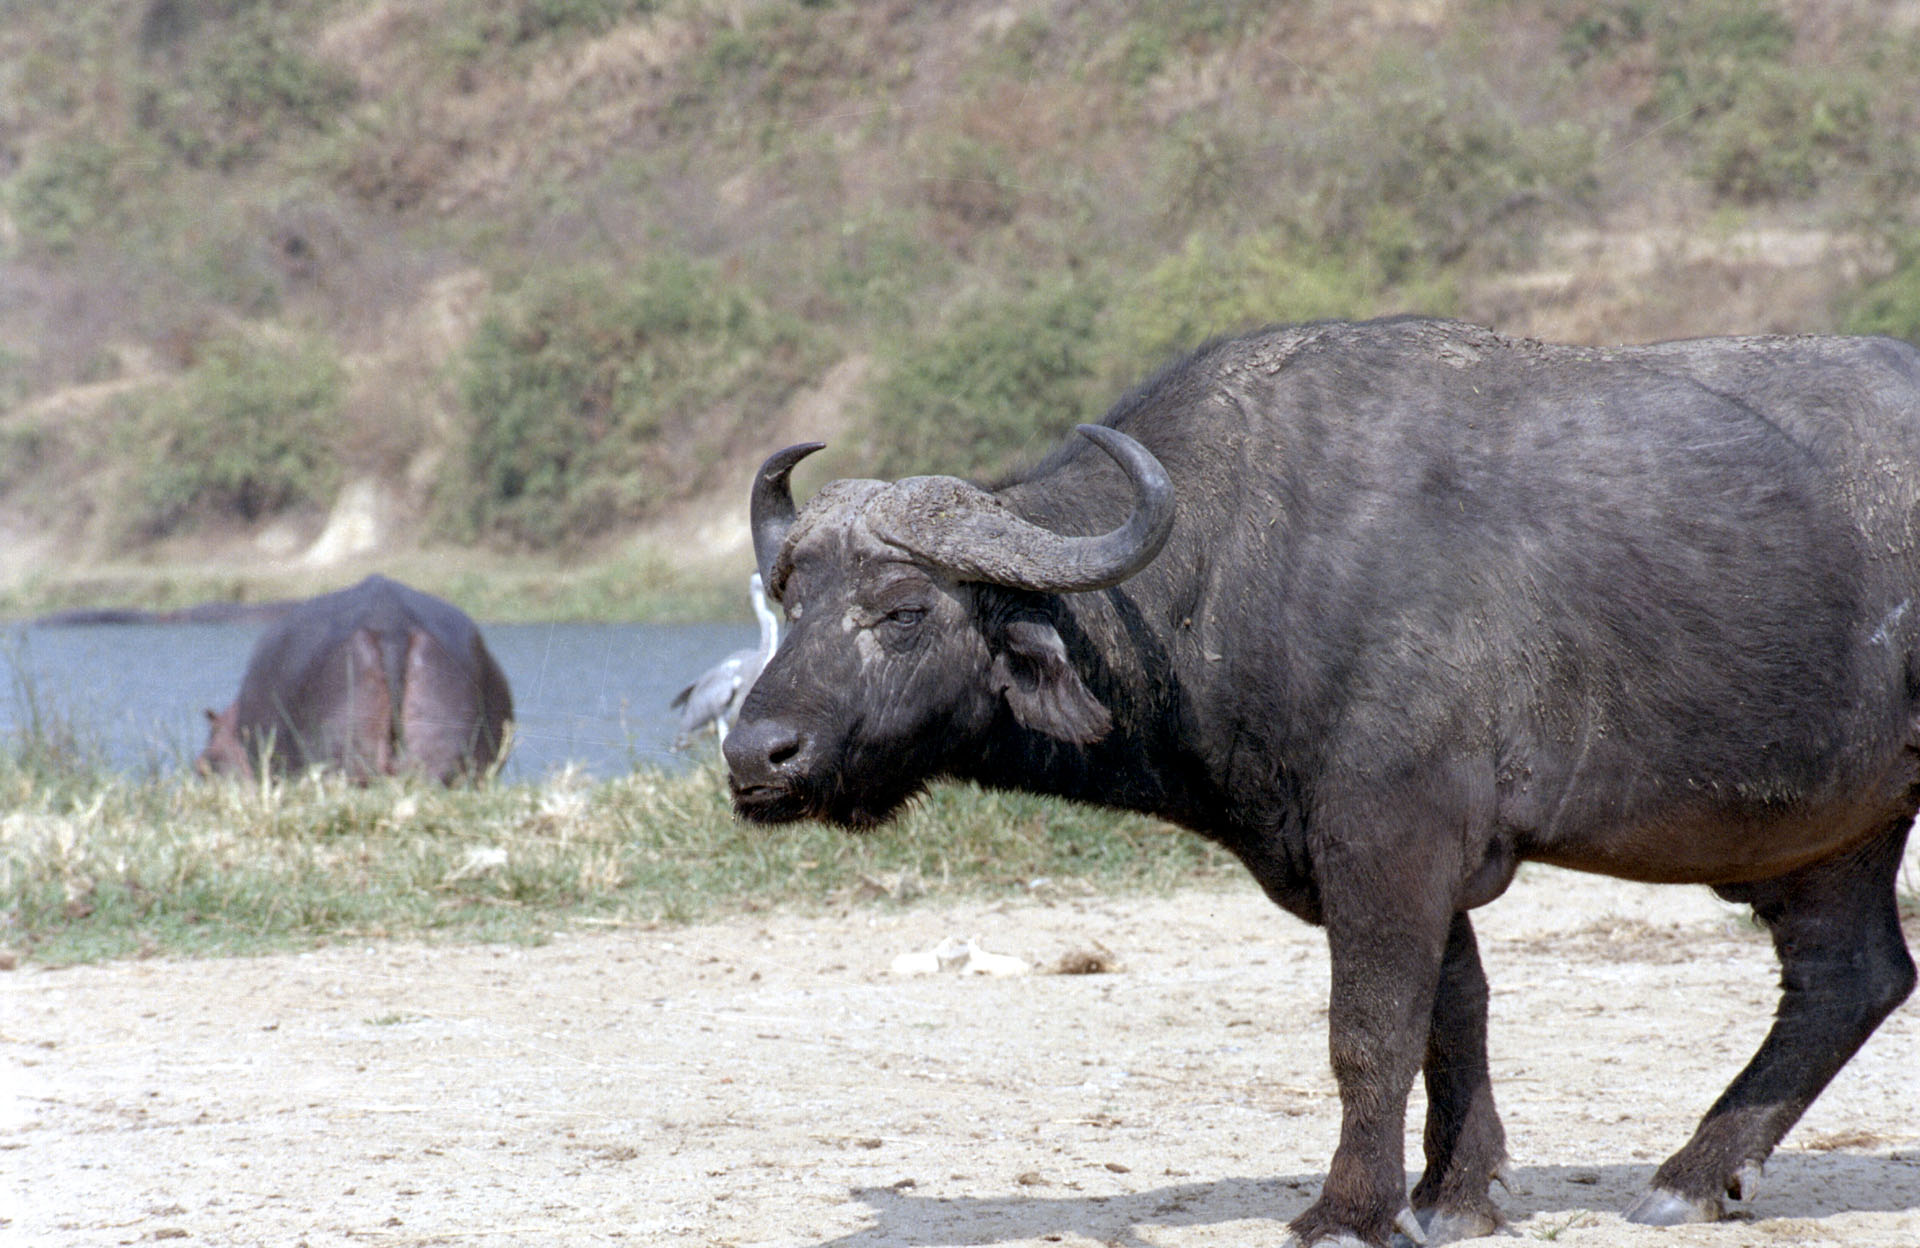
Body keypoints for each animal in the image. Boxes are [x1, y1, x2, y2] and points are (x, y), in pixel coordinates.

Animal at [725, 318, 1920, 1244]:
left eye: (902, 611)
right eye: (788, 598)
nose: (754, 755)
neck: (1239, 570)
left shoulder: (1390, 841)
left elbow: (1370, 1030)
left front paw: (1347, 1209)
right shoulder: (1399, 857)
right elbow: (1453, 1015)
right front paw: (1452, 1195)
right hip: (1831, 838)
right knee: (1851, 977)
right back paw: (1695, 1175)